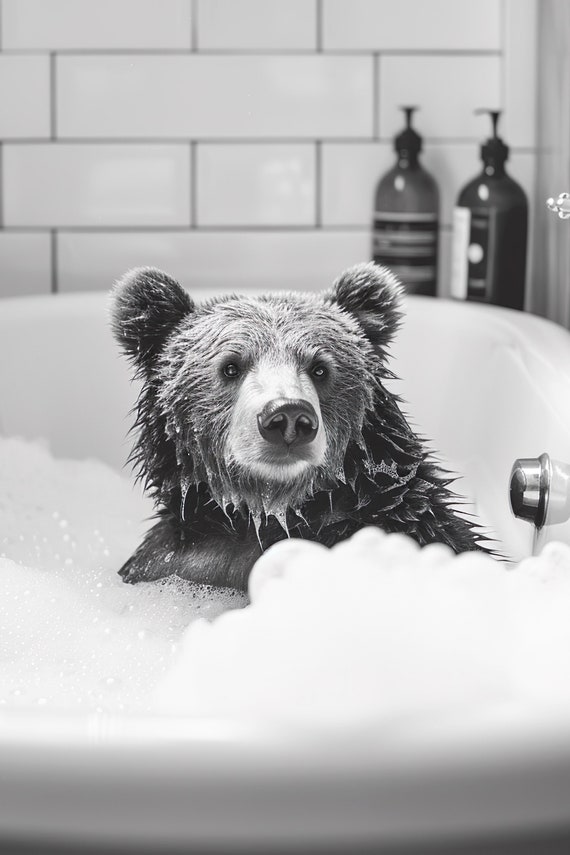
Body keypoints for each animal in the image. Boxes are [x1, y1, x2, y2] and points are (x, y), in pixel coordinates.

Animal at [111, 262, 492, 591]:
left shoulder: (416, 527)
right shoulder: (171, 562)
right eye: (231, 366)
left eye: (320, 367)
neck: (270, 513)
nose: (288, 417)